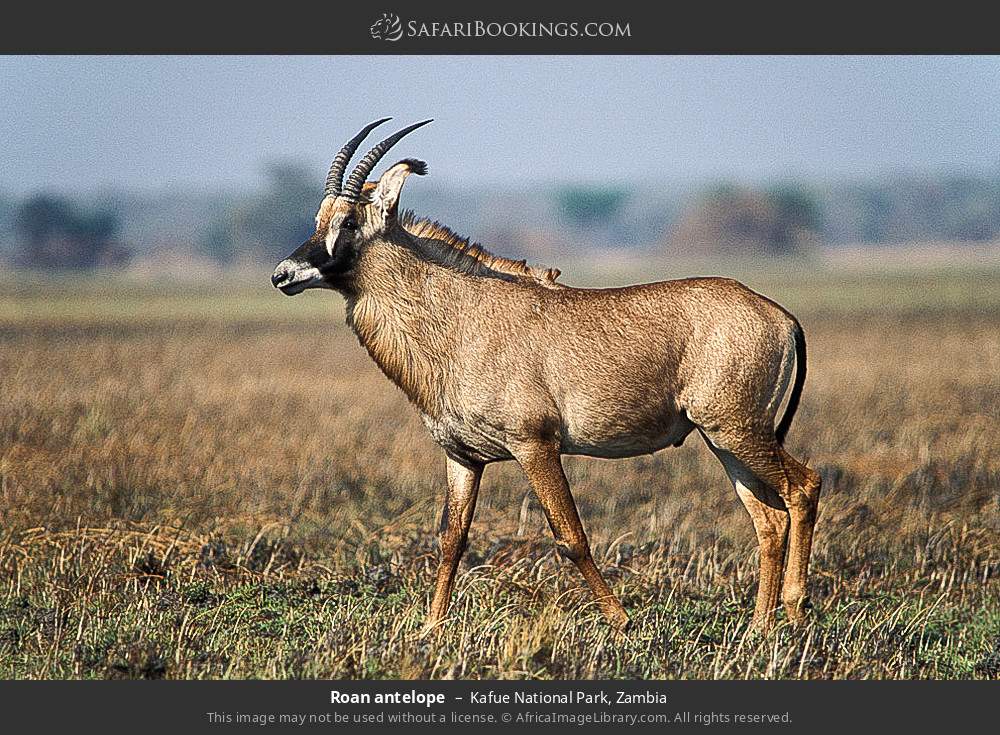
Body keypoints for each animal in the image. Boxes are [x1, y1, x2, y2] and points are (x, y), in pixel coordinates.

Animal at [270, 119, 822, 634]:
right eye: (318, 219)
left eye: (348, 220)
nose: (282, 275)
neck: (458, 315)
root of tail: (781, 317)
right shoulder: (462, 456)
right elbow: (451, 537)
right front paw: (431, 627)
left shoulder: (535, 445)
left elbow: (571, 537)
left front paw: (621, 622)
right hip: (725, 440)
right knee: (769, 519)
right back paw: (760, 624)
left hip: (738, 430)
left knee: (803, 488)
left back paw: (794, 610)